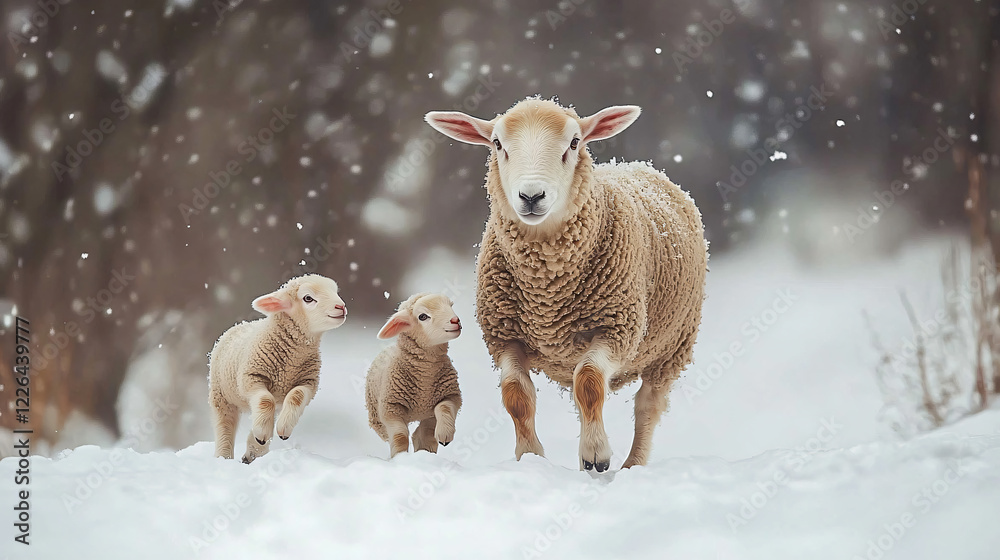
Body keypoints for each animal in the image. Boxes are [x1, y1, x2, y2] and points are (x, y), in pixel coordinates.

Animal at [208, 274, 347, 463]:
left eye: (335, 291)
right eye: (308, 298)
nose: (341, 307)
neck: (290, 363)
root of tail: (239, 324)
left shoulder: (308, 382)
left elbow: (296, 396)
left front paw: (282, 429)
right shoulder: (251, 376)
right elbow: (265, 400)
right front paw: (263, 432)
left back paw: (254, 451)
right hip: (221, 395)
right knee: (225, 425)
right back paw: (224, 457)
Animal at [365, 293, 463, 458]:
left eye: (450, 305)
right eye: (423, 316)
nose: (455, 320)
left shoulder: (450, 395)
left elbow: (444, 408)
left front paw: (445, 434)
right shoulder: (391, 408)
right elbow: (400, 436)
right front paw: (399, 457)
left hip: (428, 415)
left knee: (424, 433)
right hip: (376, 416)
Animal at [425, 98, 707, 472]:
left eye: (574, 143)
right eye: (497, 144)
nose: (531, 196)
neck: (547, 288)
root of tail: (638, 165)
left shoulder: (618, 327)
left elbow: (589, 382)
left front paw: (596, 453)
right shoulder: (504, 335)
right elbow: (516, 394)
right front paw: (530, 456)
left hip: (672, 348)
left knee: (647, 406)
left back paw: (632, 465)